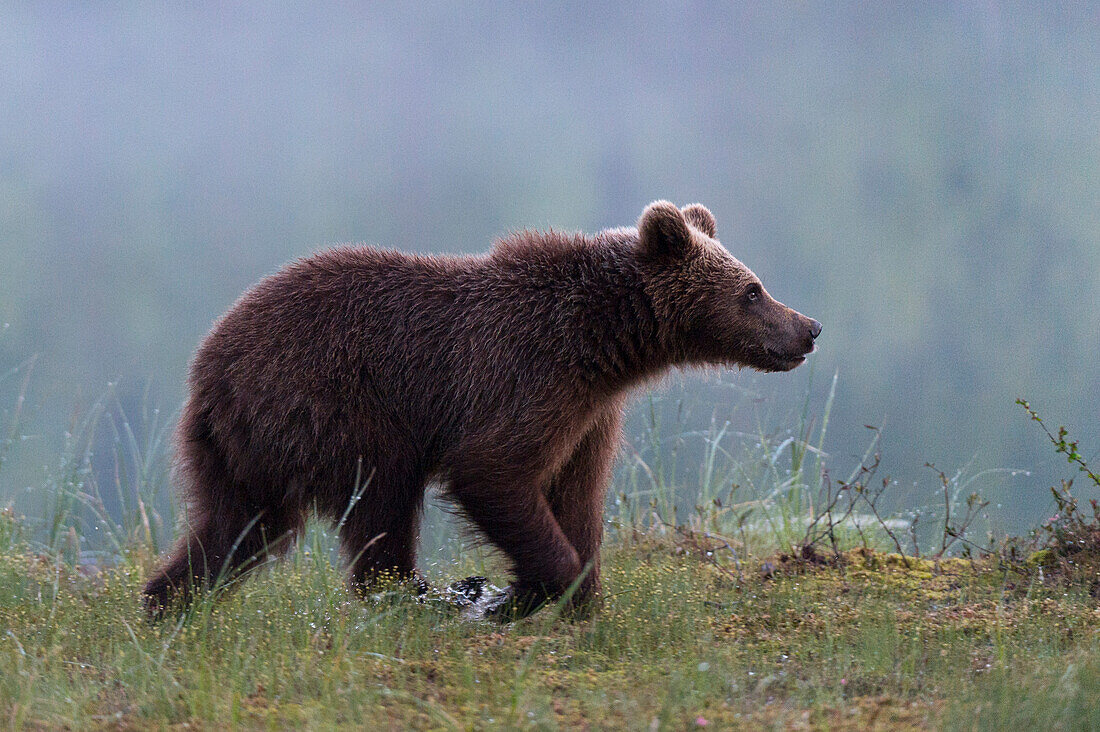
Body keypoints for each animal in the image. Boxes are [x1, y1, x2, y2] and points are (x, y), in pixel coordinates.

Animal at [144, 202, 818, 620]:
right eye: (752, 290)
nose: (808, 328)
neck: (603, 344)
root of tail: (207, 370)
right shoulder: (524, 378)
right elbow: (492, 472)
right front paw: (524, 593)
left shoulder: (589, 415)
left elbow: (578, 496)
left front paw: (582, 600)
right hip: (335, 407)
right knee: (382, 499)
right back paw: (421, 593)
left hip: (249, 450)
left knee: (237, 528)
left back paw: (165, 604)